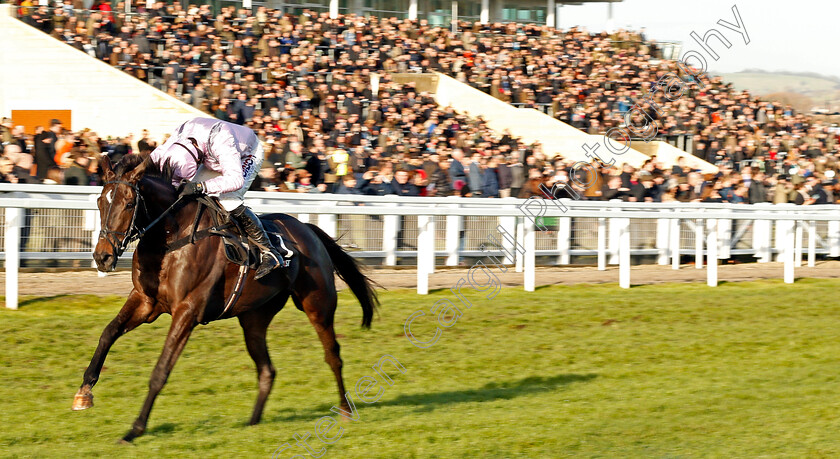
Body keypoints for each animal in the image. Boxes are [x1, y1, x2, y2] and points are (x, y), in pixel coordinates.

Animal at [72, 155, 378, 446]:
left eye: (128, 203)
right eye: (100, 201)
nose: (103, 257)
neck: (172, 238)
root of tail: (306, 227)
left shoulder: (187, 311)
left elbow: (160, 371)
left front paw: (135, 430)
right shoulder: (146, 302)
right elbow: (108, 332)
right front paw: (84, 391)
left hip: (318, 305)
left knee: (333, 355)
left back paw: (345, 410)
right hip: (254, 319)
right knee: (267, 370)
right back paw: (253, 423)